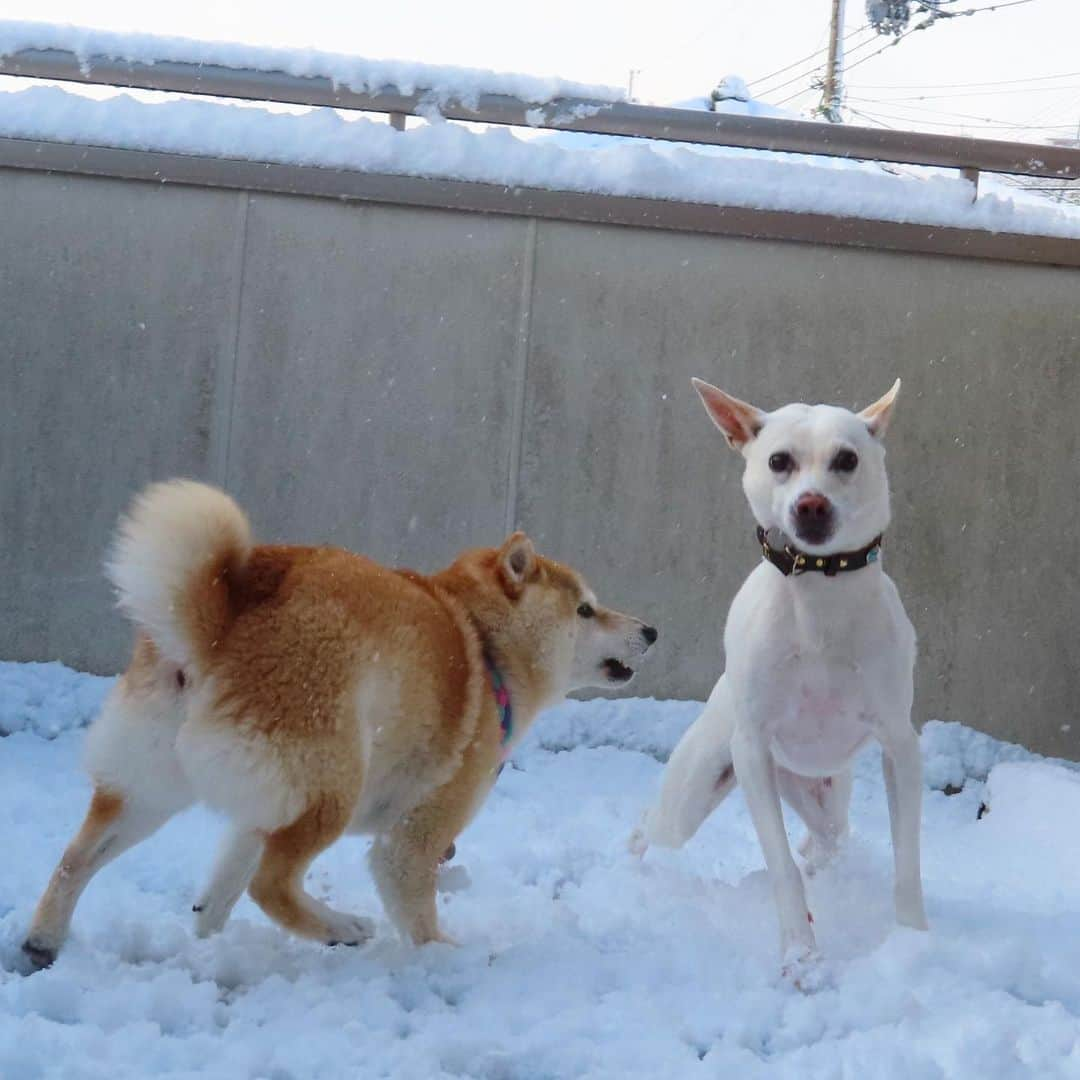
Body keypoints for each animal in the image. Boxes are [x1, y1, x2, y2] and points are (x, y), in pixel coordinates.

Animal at [21, 483, 652, 972]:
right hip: (331, 783)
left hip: (152, 785)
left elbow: (224, 879)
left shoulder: (260, 807)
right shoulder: (413, 834)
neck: (485, 643)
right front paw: (449, 956)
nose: (650, 630)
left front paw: (206, 931)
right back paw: (342, 929)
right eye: (586, 610)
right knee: (272, 885)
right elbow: (413, 903)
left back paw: (42, 941)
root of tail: (219, 625)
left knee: (77, 856)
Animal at [630, 380, 928, 989]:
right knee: (649, 827)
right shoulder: (751, 750)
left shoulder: (899, 746)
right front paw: (801, 957)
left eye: (847, 460)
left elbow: (906, 858)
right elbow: (781, 865)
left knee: (830, 837)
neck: (819, 593)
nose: (810, 504)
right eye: (778, 461)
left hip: (821, 792)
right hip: (699, 790)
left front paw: (913, 942)